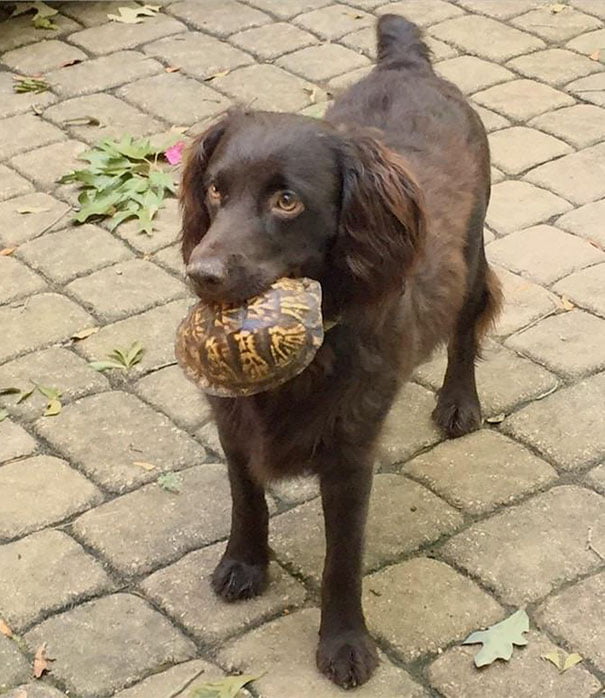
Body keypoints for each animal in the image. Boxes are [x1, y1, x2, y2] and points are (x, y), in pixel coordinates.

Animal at [178, 13, 500, 688]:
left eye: (287, 200)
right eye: (216, 191)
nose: (203, 274)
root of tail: (406, 65)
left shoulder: (352, 450)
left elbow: (341, 558)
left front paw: (345, 643)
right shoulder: (232, 421)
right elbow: (246, 498)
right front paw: (244, 564)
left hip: (473, 252)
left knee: (465, 329)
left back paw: (459, 402)